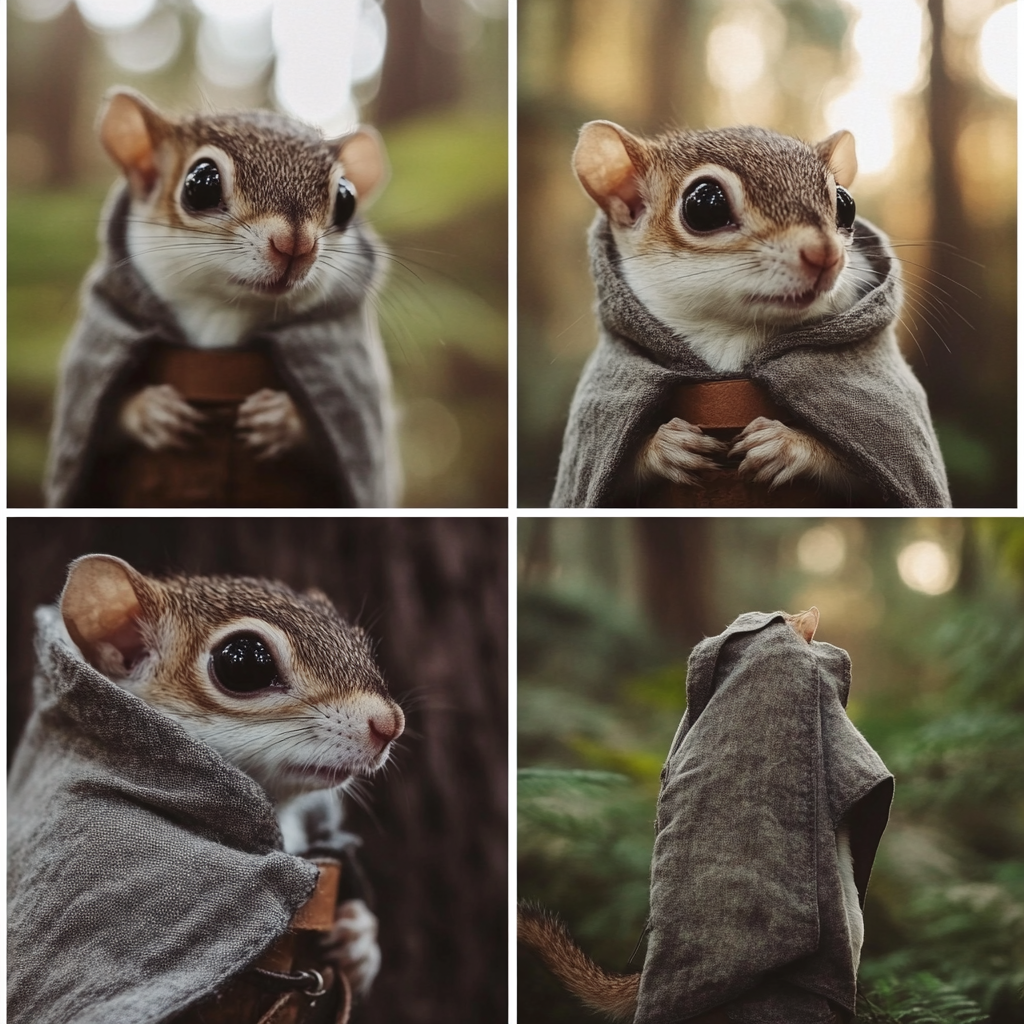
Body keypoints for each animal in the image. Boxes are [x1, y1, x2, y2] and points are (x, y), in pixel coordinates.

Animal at [47, 89, 399, 507]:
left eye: (347, 198)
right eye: (202, 184)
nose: (295, 245)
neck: (223, 310)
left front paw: (280, 420)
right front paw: (151, 411)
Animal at [557, 119, 946, 507]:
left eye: (845, 203)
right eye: (705, 205)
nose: (825, 253)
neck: (733, 333)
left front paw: (788, 446)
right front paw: (665, 447)